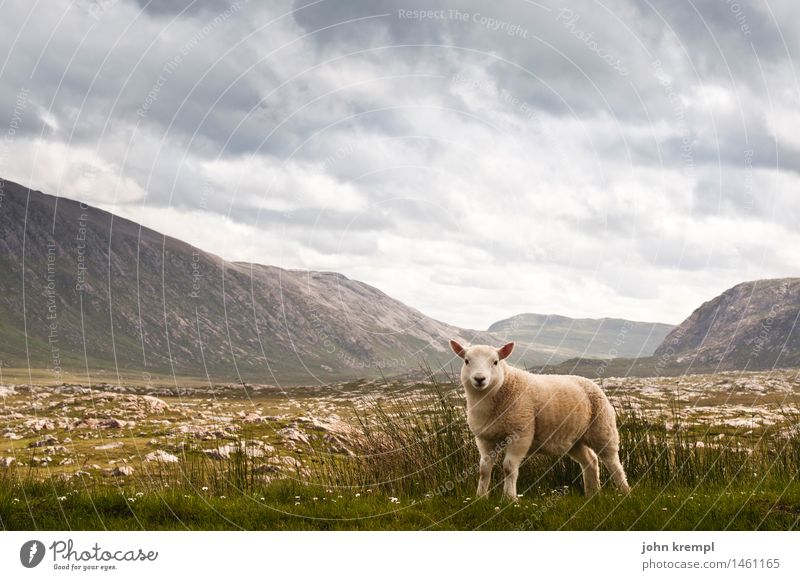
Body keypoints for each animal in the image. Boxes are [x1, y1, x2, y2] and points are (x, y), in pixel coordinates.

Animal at [446, 340, 628, 498]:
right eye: (467, 361)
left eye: (495, 362)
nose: (479, 379)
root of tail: (590, 382)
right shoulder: (484, 438)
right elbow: (484, 469)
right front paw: (481, 497)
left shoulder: (520, 434)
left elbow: (508, 467)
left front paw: (509, 498)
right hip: (573, 439)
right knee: (590, 460)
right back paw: (593, 494)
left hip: (602, 428)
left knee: (613, 462)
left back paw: (624, 491)